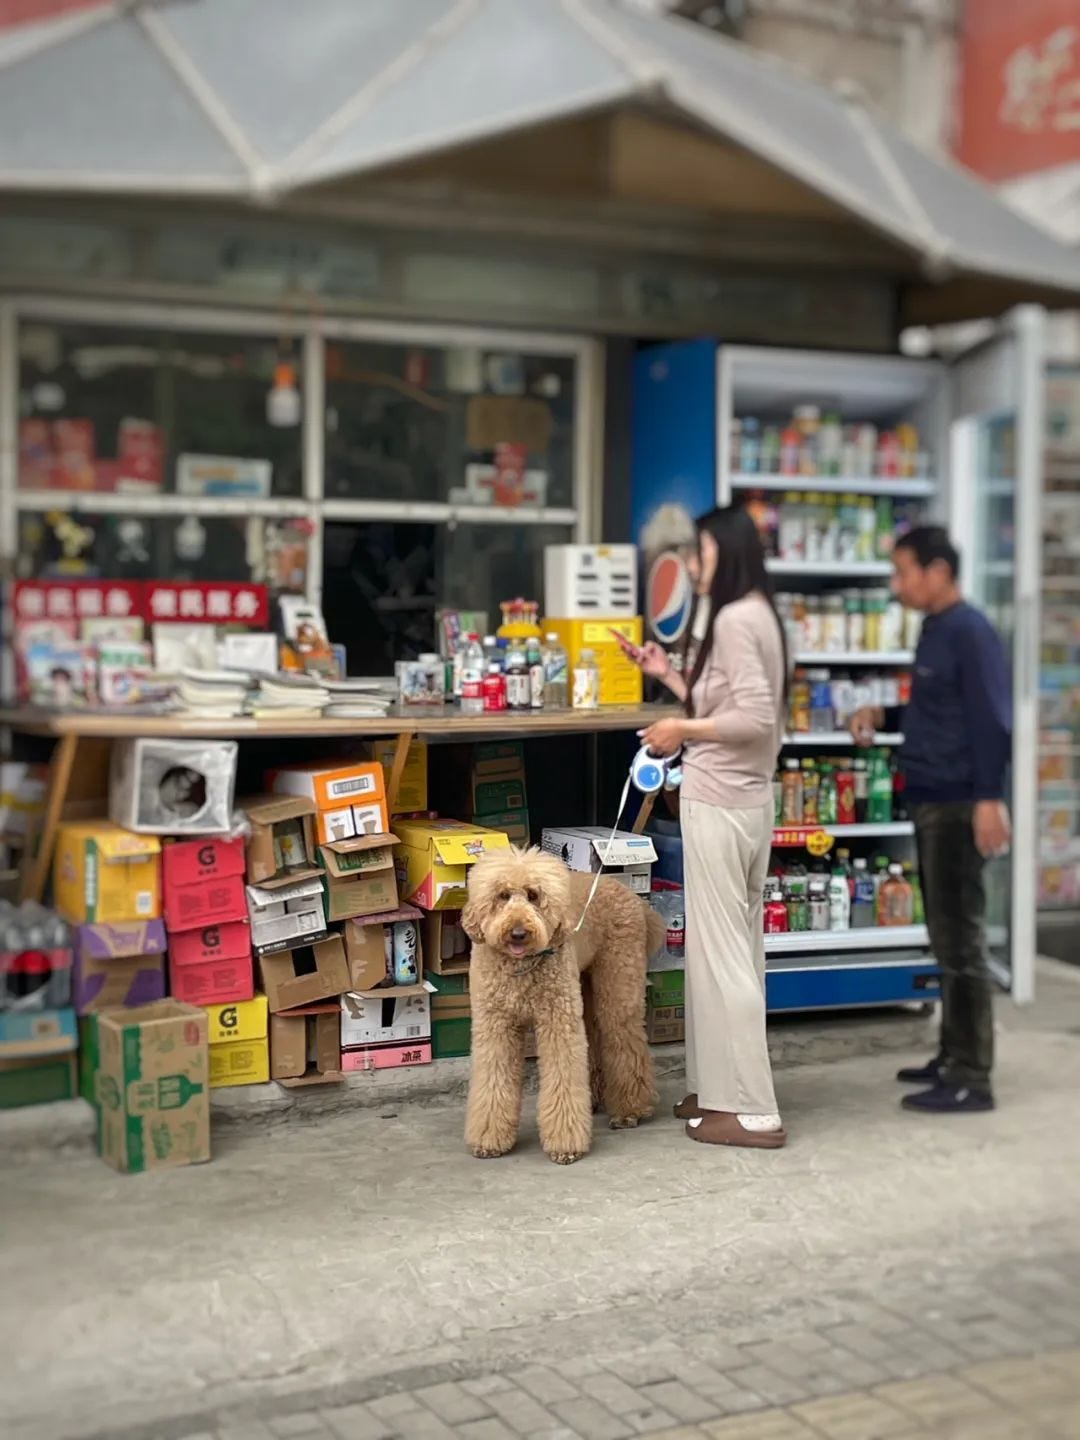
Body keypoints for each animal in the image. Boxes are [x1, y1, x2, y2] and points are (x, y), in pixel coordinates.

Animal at [461, 846, 664, 1165]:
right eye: (502, 895)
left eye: (533, 895)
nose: (518, 932)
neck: (522, 965)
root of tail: (631, 894)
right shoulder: (495, 1025)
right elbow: (493, 1080)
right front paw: (489, 1140)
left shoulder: (558, 1021)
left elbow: (563, 1075)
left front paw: (565, 1144)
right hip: (584, 984)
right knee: (595, 1038)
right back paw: (595, 1097)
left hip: (618, 984)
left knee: (625, 1040)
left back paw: (630, 1110)